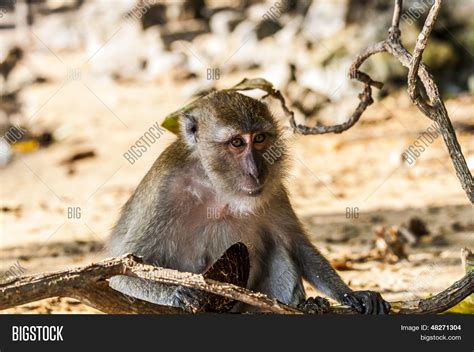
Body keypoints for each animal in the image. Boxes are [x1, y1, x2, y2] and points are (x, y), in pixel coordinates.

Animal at [109, 91, 390, 314]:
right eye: (237, 142)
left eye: (259, 139)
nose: (256, 172)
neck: (218, 188)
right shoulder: (165, 192)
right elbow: (122, 274)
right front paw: (177, 294)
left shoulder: (274, 191)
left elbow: (296, 244)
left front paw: (350, 294)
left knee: (280, 250)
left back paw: (306, 305)